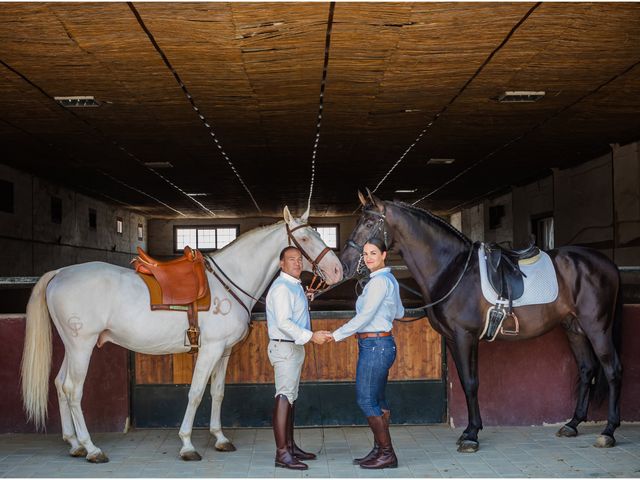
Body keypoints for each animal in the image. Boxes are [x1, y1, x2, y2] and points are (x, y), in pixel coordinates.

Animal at [20, 206, 342, 462]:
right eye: (304, 239)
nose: (337, 271)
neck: (229, 283)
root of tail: (60, 273)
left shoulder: (224, 352)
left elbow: (217, 392)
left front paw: (220, 439)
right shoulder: (210, 349)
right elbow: (196, 393)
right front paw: (187, 445)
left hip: (72, 346)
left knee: (59, 385)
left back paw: (74, 443)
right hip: (82, 346)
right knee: (73, 390)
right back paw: (91, 448)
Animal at [342, 190, 624, 450]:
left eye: (369, 223)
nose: (344, 265)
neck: (453, 270)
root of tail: (607, 263)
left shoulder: (465, 337)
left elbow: (470, 383)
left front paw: (471, 436)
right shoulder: (454, 339)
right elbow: (467, 383)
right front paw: (470, 430)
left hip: (597, 327)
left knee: (612, 370)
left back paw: (608, 431)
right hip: (574, 328)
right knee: (587, 369)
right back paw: (572, 424)